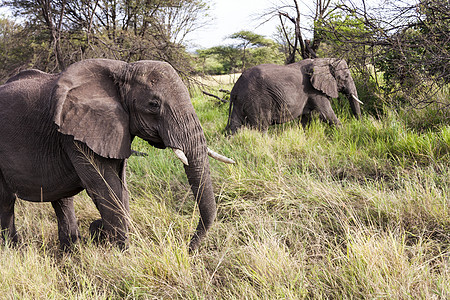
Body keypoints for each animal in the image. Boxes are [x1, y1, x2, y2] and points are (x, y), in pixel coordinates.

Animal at [0, 58, 232, 251]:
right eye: (154, 104)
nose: (189, 249)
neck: (123, 70)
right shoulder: (75, 135)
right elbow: (106, 188)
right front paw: (123, 254)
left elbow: (121, 188)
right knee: (6, 201)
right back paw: (14, 250)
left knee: (62, 201)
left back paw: (70, 252)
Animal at [225, 58, 362, 133]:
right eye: (346, 76)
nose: (359, 123)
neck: (324, 60)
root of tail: (235, 88)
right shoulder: (314, 91)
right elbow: (327, 114)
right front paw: (345, 134)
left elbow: (306, 118)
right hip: (256, 100)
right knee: (261, 126)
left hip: (241, 101)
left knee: (235, 126)